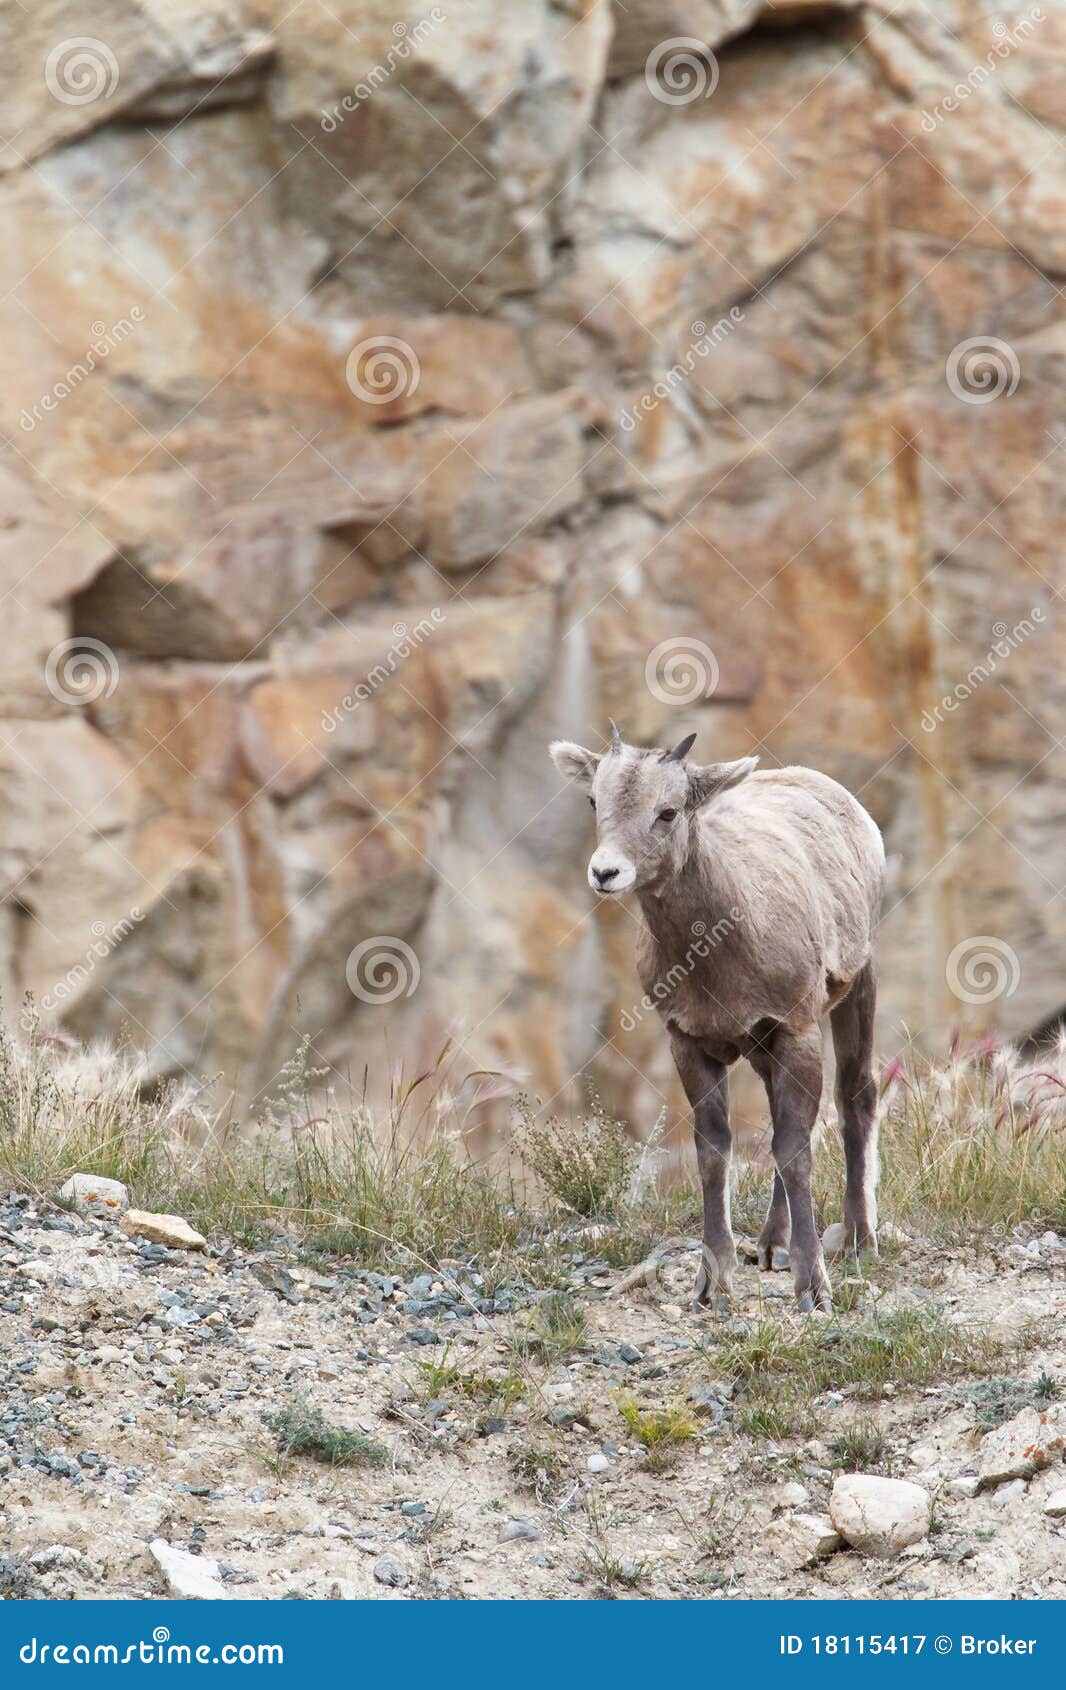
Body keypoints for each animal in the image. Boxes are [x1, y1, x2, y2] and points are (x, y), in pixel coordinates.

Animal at [550, 719, 885, 1311]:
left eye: (668, 811)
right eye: (594, 800)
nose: (605, 872)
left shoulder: (796, 1028)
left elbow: (794, 1149)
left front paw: (813, 1287)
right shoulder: (690, 1041)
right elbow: (715, 1152)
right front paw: (712, 1285)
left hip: (856, 988)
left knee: (856, 1096)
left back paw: (859, 1240)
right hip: (760, 1049)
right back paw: (771, 1245)